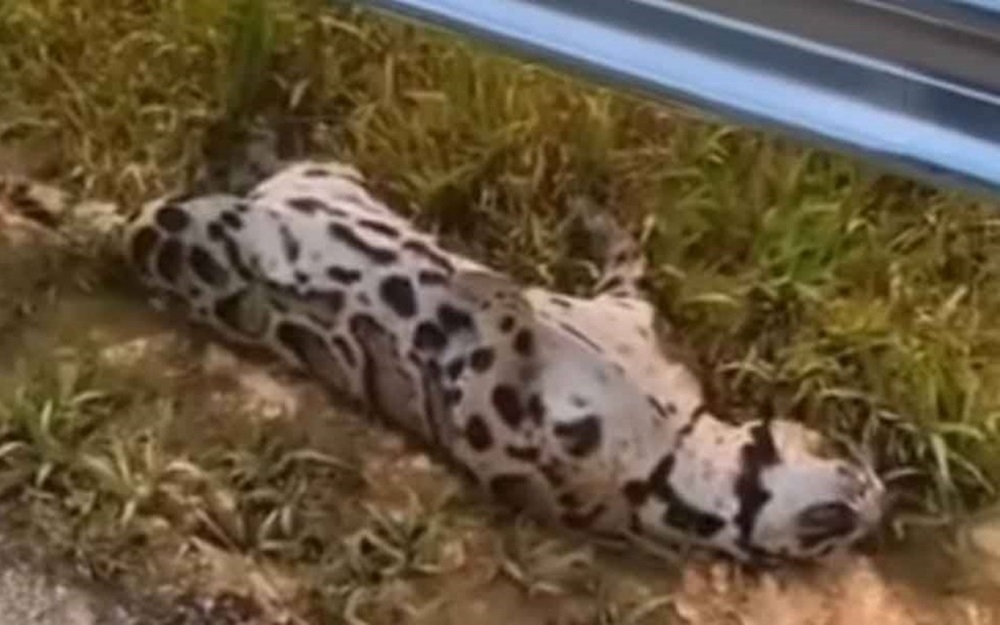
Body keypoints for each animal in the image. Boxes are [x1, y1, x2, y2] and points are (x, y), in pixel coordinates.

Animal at [119, 157, 886, 566]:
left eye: (844, 527)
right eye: (848, 457)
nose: (884, 495)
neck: (684, 439)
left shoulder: (499, 440)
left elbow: (500, 331)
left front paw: (484, 292)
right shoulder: (633, 304)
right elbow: (624, 257)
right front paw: (576, 220)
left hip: (183, 241)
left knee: (157, 223)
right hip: (320, 171)